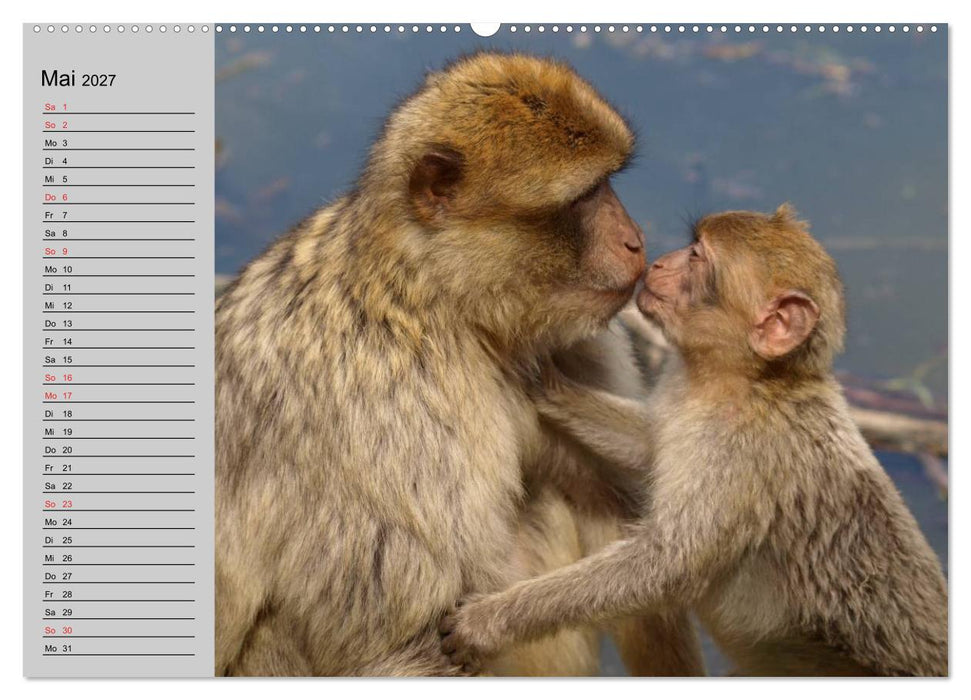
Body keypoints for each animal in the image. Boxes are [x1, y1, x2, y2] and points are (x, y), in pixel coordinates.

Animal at [215, 52, 704, 676]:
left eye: (608, 184)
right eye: (584, 196)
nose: (635, 241)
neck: (436, 301)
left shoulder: (571, 346)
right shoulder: (394, 415)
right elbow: (402, 639)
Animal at [439, 205, 949, 676]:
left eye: (698, 257)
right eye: (692, 245)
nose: (659, 261)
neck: (743, 381)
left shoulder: (738, 452)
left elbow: (665, 566)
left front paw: (490, 621)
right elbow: (649, 444)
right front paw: (545, 382)